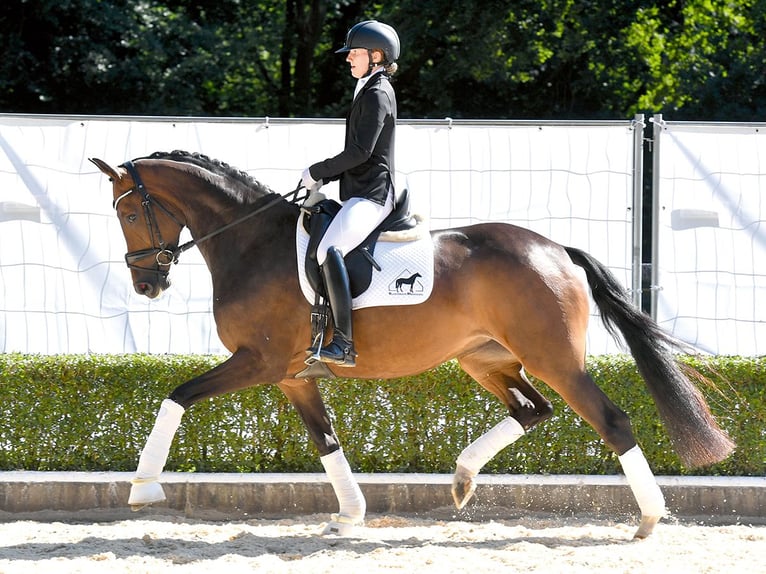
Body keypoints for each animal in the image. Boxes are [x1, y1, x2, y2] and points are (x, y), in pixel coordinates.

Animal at [91, 152, 736, 540]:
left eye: (128, 212)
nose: (147, 285)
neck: (251, 242)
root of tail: (556, 250)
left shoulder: (259, 361)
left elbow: (177, 396)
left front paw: (144, 487)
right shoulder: (293, 375)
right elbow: (326, 441)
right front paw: (350, 516)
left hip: (553, 359)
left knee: (611, 419)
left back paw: (649, 518)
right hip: (484, 357)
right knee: (533, 410)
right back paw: (462, 479)